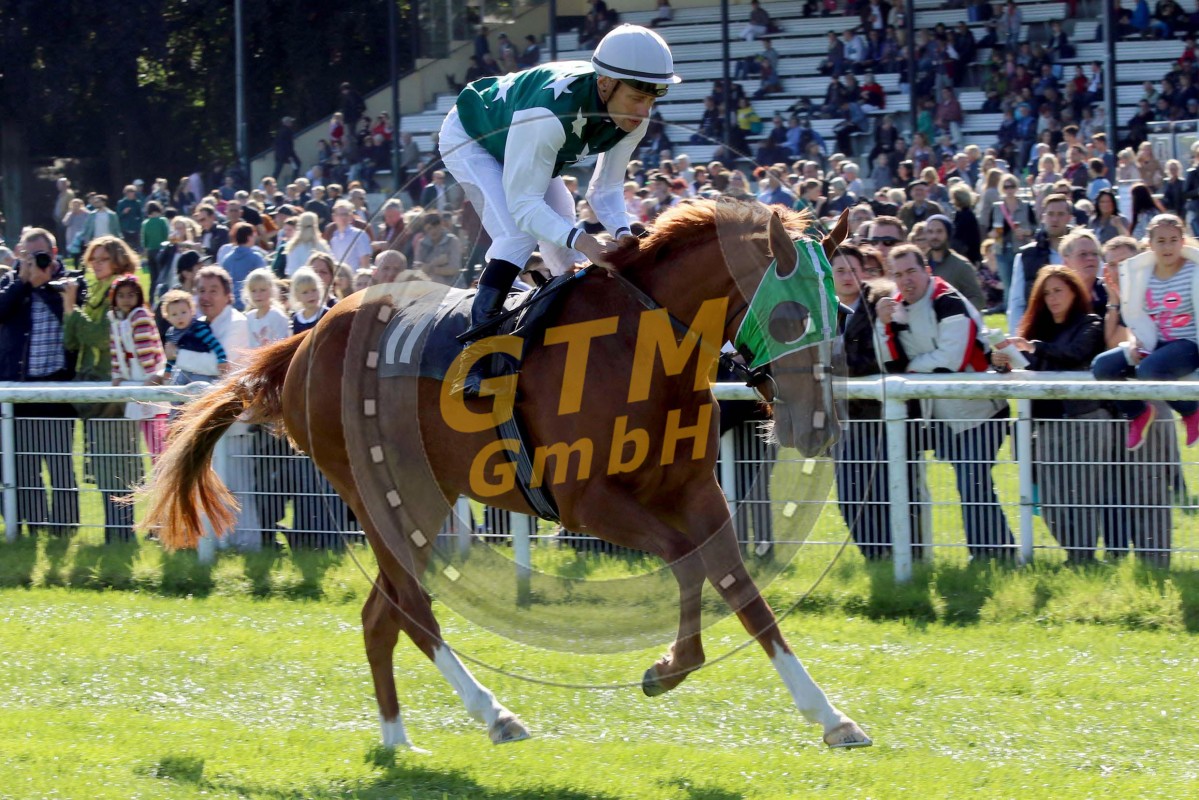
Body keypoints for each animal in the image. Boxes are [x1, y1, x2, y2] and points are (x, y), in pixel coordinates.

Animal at [141, 197, 872, 751]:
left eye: (843, 311)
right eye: (789, 315)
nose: (819, 427)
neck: (638, 346)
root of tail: (306, 337)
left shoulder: (693, 490)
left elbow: (745, 595)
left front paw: (831, 717)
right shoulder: (586, 502)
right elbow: (687, 562)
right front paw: (668, 666)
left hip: (423, 497)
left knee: (381, 614)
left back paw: (397, 739)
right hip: (385, 494)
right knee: (410, 610)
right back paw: (494, 715)